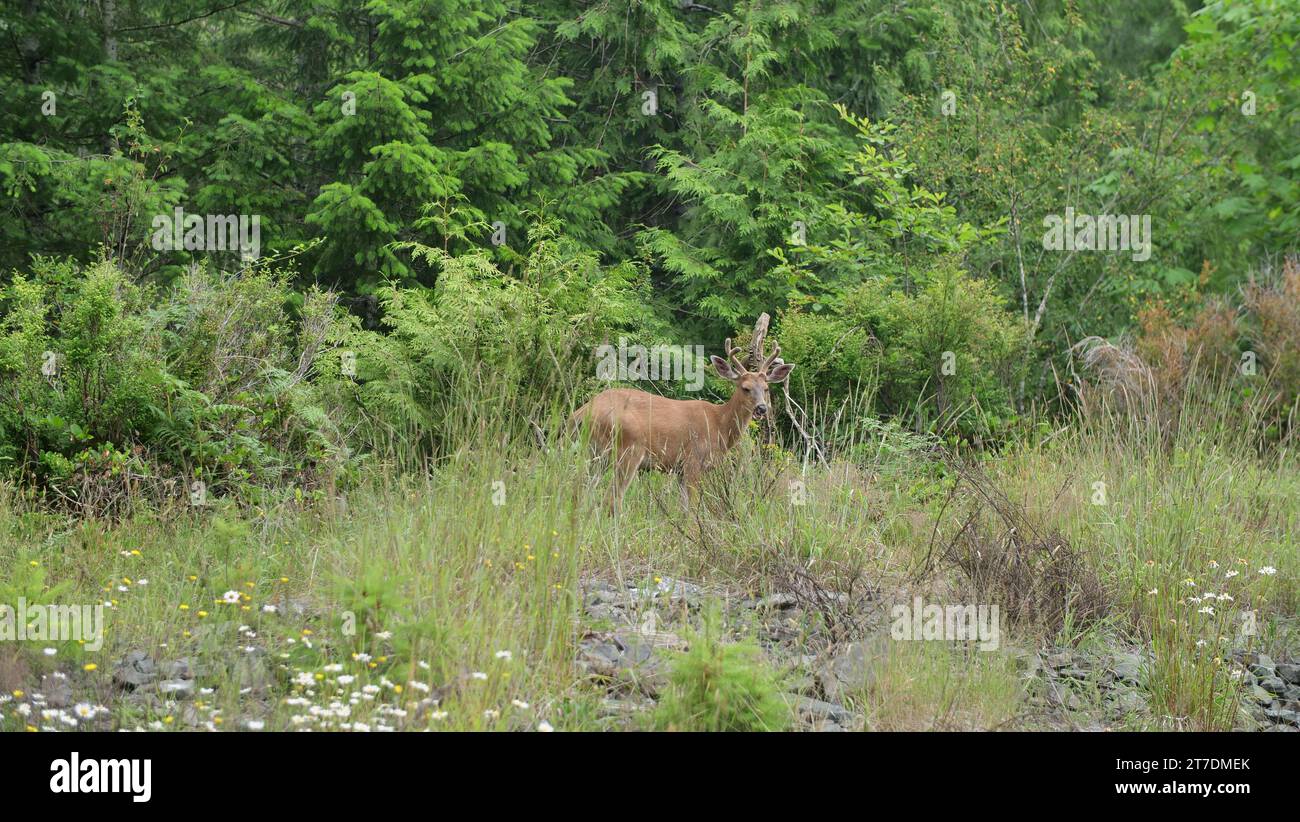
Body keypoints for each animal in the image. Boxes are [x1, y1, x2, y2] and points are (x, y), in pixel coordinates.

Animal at [568, 314, 794, 511]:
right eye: (745, 388)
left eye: (766, 388)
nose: (761, 408)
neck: (719, 425)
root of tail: (581, 413)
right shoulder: (693, 460)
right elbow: (693, 509)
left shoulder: (679, 471)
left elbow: (684, 509)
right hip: (627, 450)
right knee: (611, 499)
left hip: (593, 454)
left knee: (581, 492)